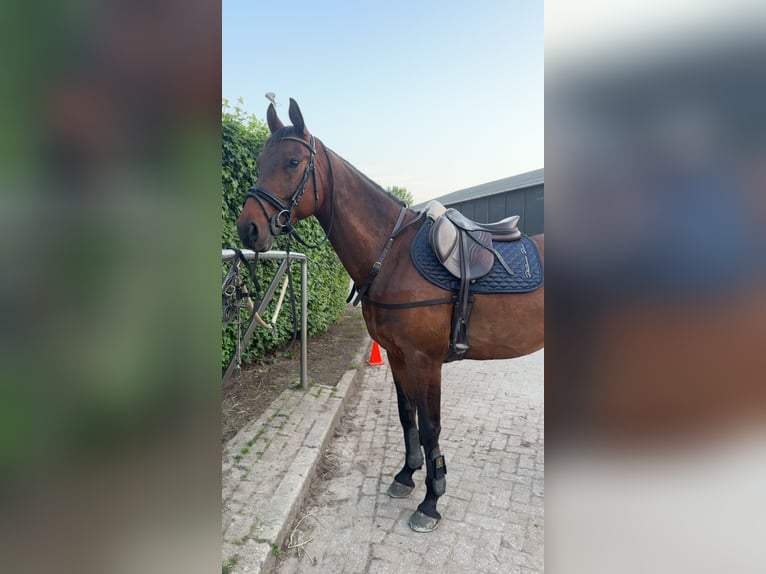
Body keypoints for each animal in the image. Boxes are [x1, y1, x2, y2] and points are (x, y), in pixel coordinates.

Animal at [237, 99, 544, 532]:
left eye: (293, 162)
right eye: (261, 160)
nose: (248, 229)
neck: (392, 255)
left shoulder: (425, 360)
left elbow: (430, 426)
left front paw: (431, 500)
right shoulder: (397, 356)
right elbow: (406, 416)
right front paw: (406, 475)